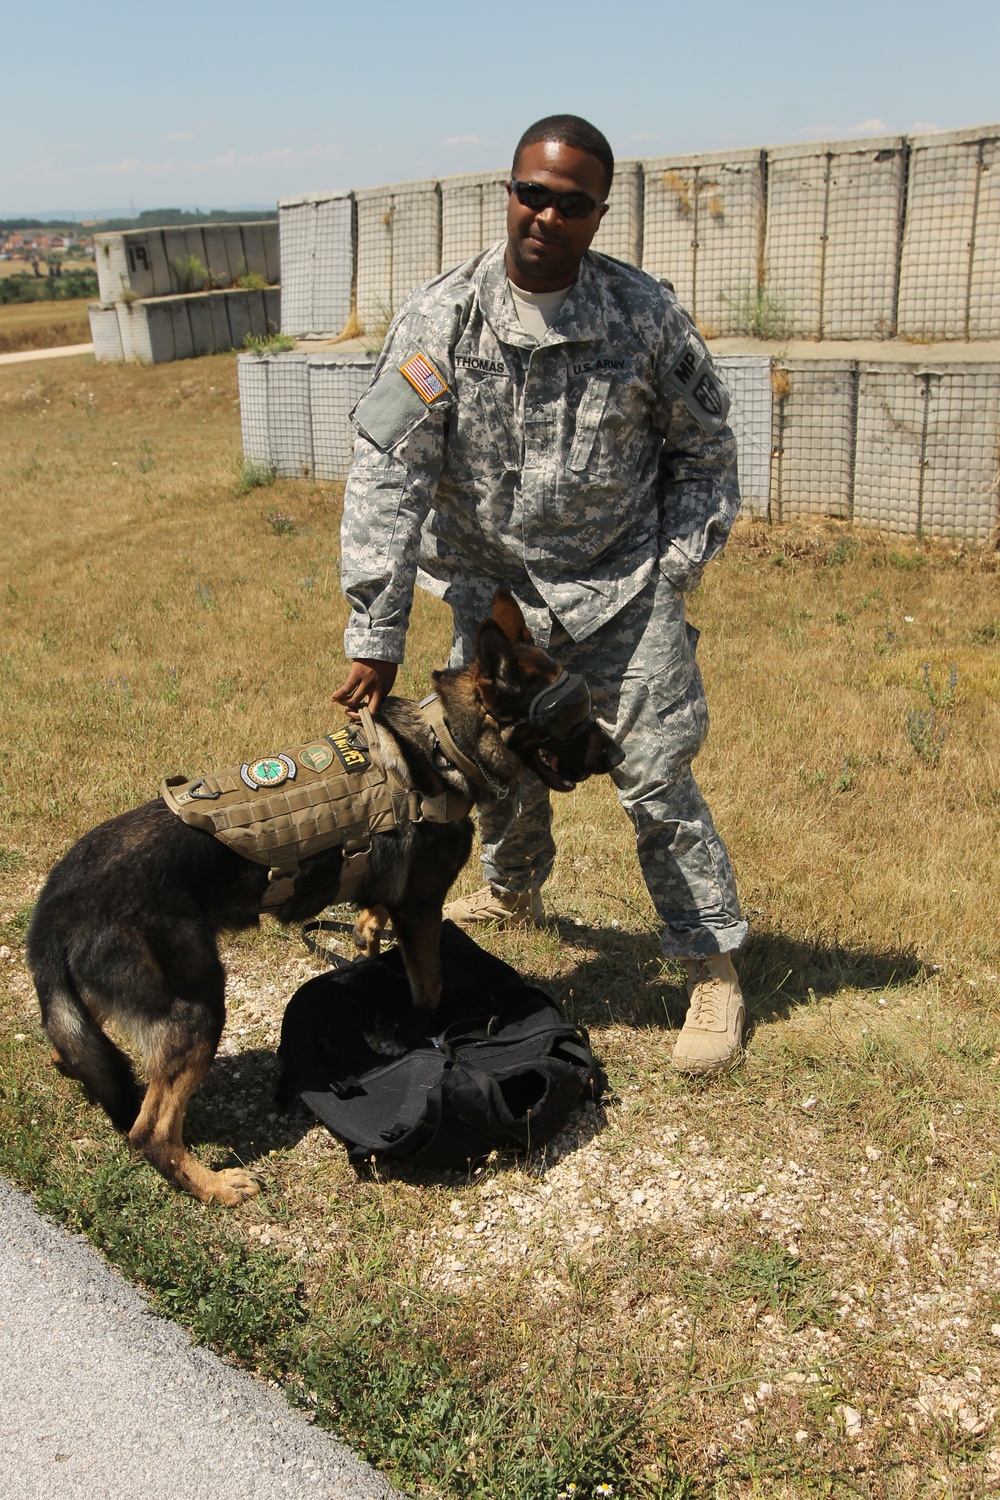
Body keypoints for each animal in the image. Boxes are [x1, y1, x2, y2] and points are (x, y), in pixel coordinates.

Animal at [27, 591, 620, 1200]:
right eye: (569, 717)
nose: (618, 756)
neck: (446, 746)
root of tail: (52, 908)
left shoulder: (398, 895)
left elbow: (376, 905)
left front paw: (365, 929)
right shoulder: (422, 910)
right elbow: (429, 985)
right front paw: (432, 1025)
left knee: (74, 1054)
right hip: (197, 1007)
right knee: (149, 1130)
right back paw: (214, 1185)